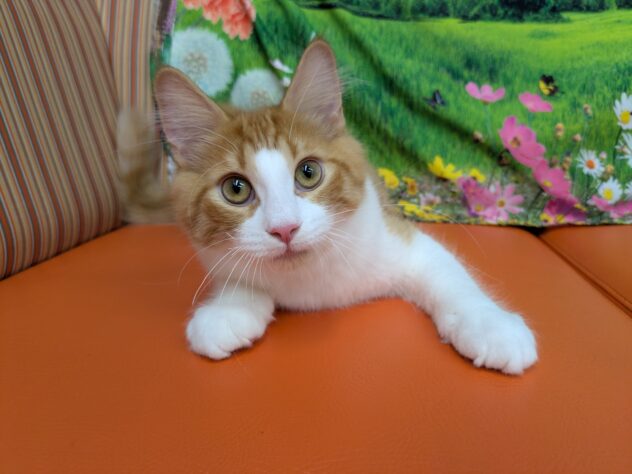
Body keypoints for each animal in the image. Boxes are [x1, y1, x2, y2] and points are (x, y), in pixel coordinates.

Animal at [118, 40, 537, 375]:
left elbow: (452, 278)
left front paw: (491, 326)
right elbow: (236, 272)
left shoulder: (399, 238)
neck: (312, 285)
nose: (284, 229)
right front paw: (228, 309)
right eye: (236, 189)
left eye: (308, 173)